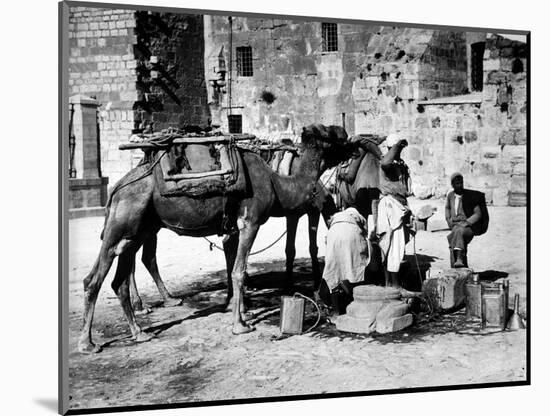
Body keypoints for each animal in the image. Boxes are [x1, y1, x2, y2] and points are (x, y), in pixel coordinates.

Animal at [76, 122, 354, 352]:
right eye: (333, 136)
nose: (351, 142)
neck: (277, 184)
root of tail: (116, 188)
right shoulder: (250, 222)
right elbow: (239, 271)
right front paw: (240, 325)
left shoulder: (232, 227)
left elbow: (232, 267)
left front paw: (240, 311)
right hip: (121, 226)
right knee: (94, 279)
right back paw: (88, 343)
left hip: (136, 232)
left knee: (120, 280)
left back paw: (139, 332)